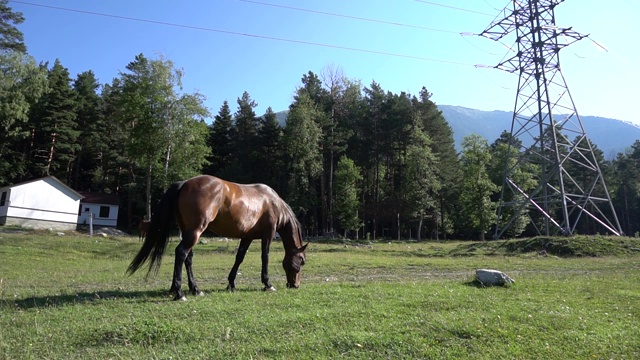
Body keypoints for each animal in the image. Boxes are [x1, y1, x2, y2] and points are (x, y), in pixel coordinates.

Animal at [127, 174, 308, 300]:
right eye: (302, 261)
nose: (295, 285)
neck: (273, 203)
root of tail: (184, 183)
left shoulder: (247, 237)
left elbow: (239, 257)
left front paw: (231, 284)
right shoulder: (268, 234)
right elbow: (265, 257)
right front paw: (268, 284)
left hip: (188, 231)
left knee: (188, 257)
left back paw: (194, 289)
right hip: (195, 231)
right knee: (181, 253)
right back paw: (180, 293)